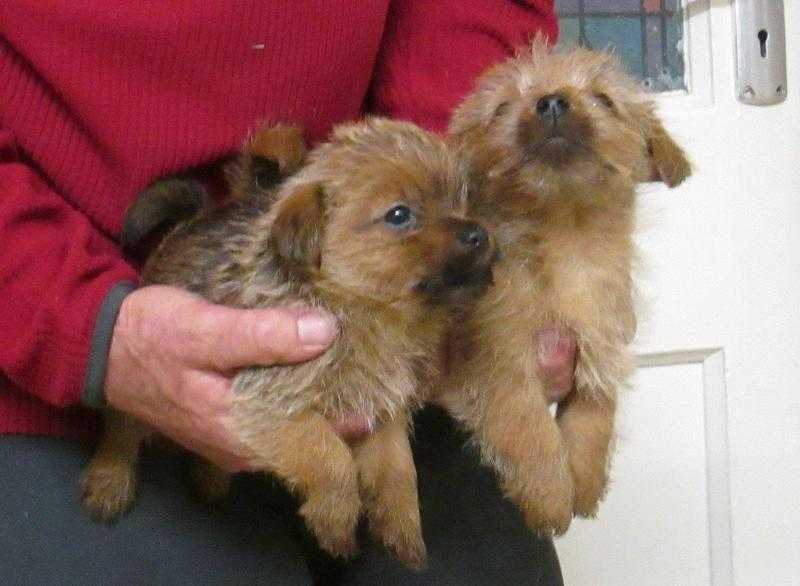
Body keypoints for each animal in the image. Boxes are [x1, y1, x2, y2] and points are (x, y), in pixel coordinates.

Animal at [81, 118, 494, 564]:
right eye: (399, 215)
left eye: (462, 201)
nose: (479, 234)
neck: (366, 312)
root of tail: (192, 223)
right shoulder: (270, 403)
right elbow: (331, 458)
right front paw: (335, 521)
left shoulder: (381, 410)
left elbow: (399, 467)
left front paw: (403, 527)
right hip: (141, 383)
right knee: (122, 424)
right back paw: (109, 480)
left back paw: (210, 478)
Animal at [440, 41, 692, 532]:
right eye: (502, 108)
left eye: (605, 100)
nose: (552, 100)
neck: (565, 238)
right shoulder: (498, 364)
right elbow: (529, 431)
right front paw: (550, 497)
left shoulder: (600, 347)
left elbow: (594, 418)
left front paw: (586, 481)